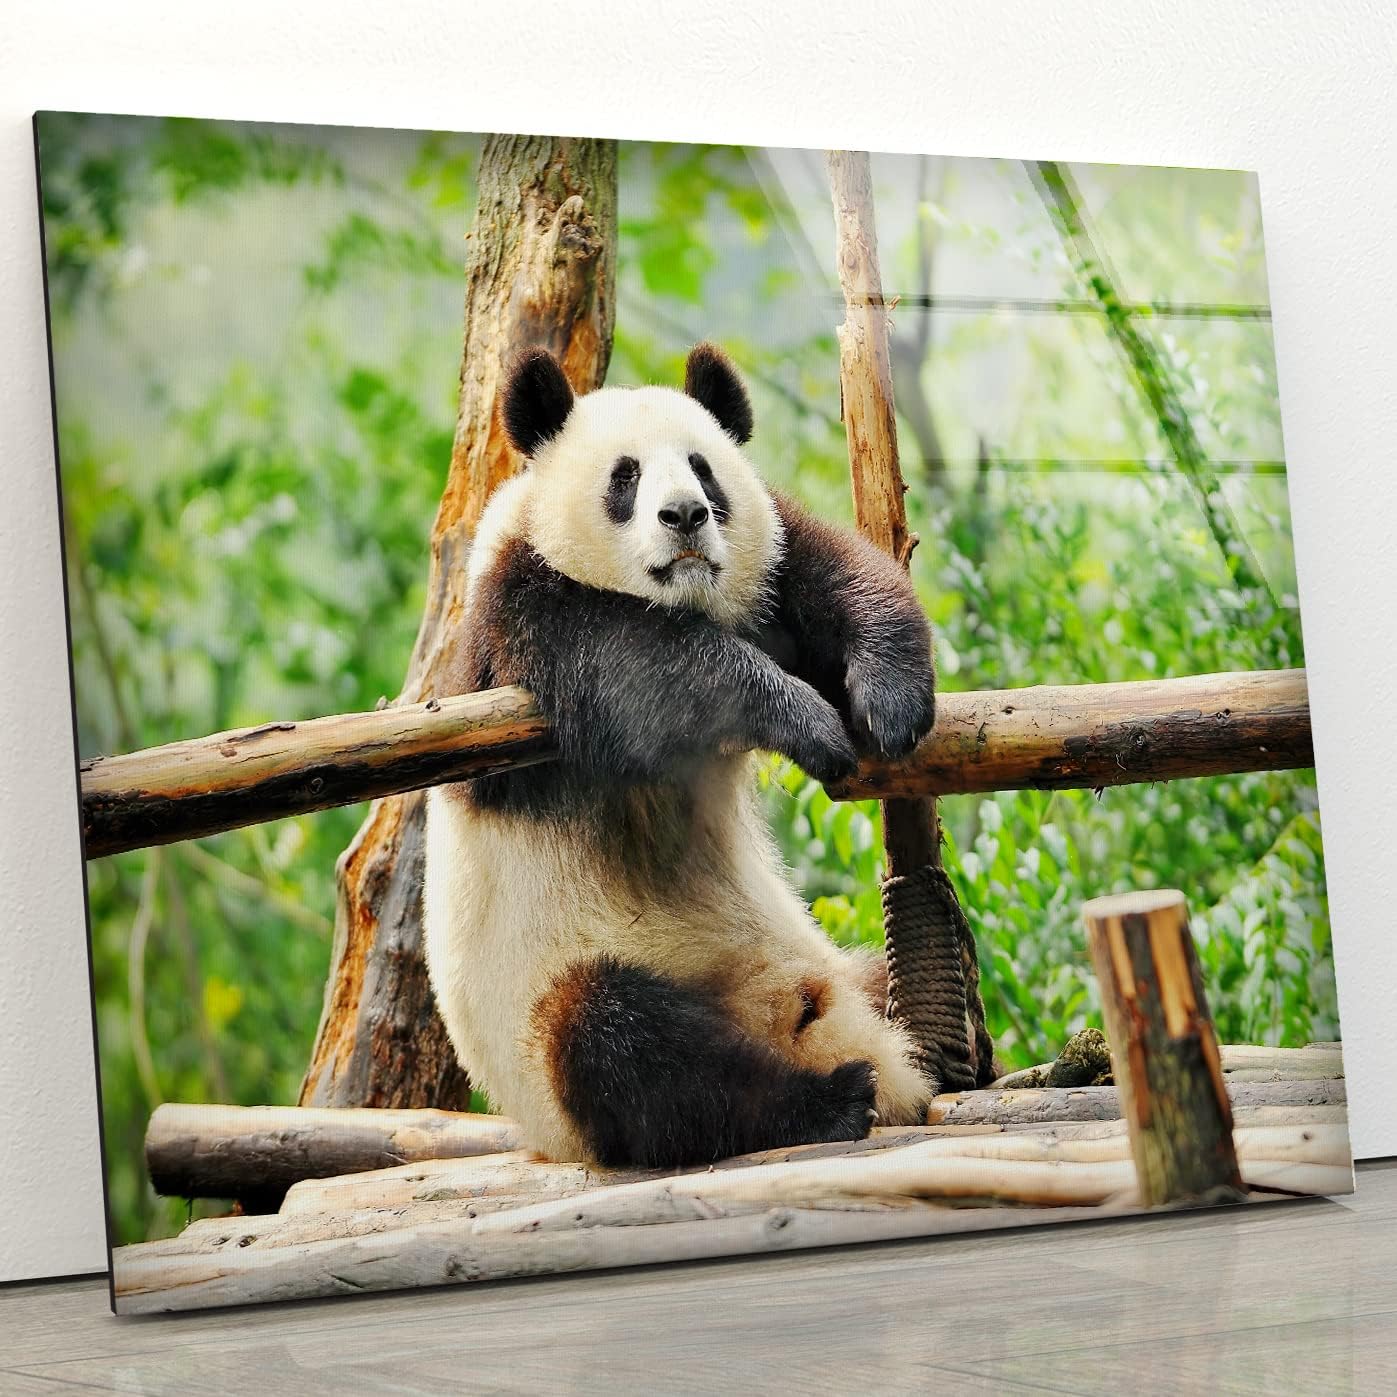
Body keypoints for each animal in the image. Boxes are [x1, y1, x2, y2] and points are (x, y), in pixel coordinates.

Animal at [423, 342, 938, 1170]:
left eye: (703, 470)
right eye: (625, 476)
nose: (685, 517)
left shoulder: (764, 562)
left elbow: (831, 569)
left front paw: (889, 702)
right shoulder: (525, 609)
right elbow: (648, 668)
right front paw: (805, 721)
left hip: (823, 963)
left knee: (856, 978)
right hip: (552, 1018)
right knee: (631, 1051)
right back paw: (829, 1098)